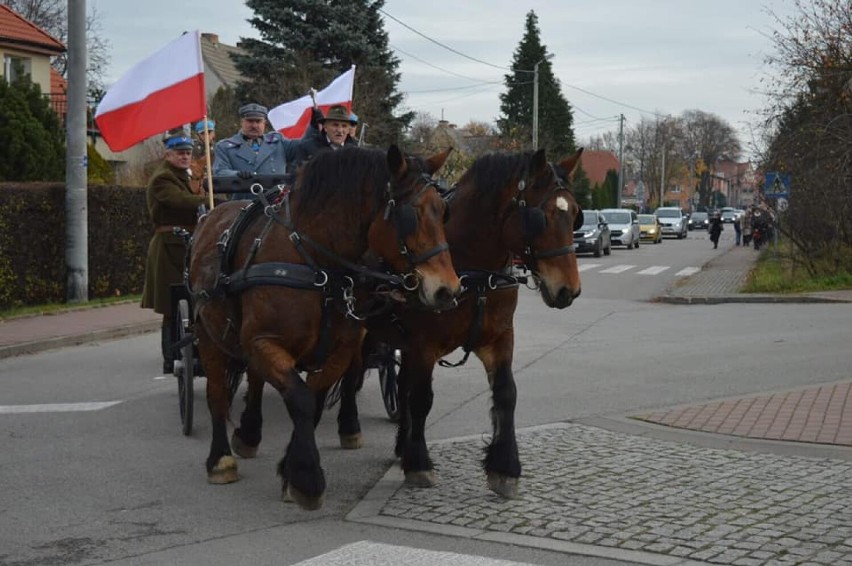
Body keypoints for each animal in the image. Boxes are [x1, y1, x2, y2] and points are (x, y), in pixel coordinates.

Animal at [190, 145, 462, 510]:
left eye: (443, 211)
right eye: (409, 215)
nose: (448, 290)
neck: (316, 264)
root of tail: (211, 215)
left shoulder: (340, 349)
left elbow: (314, 400)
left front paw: (291, 470)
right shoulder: (263, 341)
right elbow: (302, 399)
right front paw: (307, 479)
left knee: (257, 381)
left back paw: (248, 434)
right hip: (207, 335)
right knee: (217, 393)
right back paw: (220, 460)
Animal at [336, 149, 584, 500]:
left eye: (575, 214)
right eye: (541, 218)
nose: (569, 290)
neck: (473, 272)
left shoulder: (499, 338)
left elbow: (506, 393)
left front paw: (504, 468)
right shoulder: (425, 345)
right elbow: (422, 399)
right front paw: (419, 464)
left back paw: (400, 446)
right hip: (360, 331)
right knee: (352, 375)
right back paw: (350, 428)